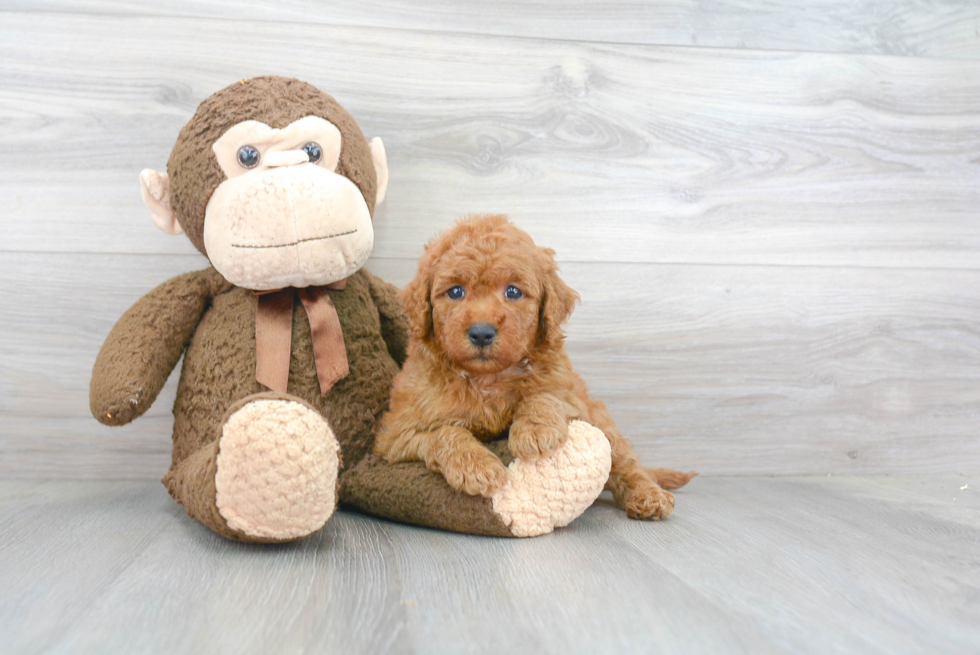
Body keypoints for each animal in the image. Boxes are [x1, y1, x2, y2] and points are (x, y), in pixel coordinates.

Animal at [376, 215, 696, 524]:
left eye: (513, 291)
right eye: (455, 292)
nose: (481, 332)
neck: (489, 378)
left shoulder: (571, 395)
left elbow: (543, 395)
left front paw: (535, 431)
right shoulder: (395, 436)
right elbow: (445, 432)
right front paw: (477, 467)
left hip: (601, 420)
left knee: (627, 463)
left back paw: (649, 496)